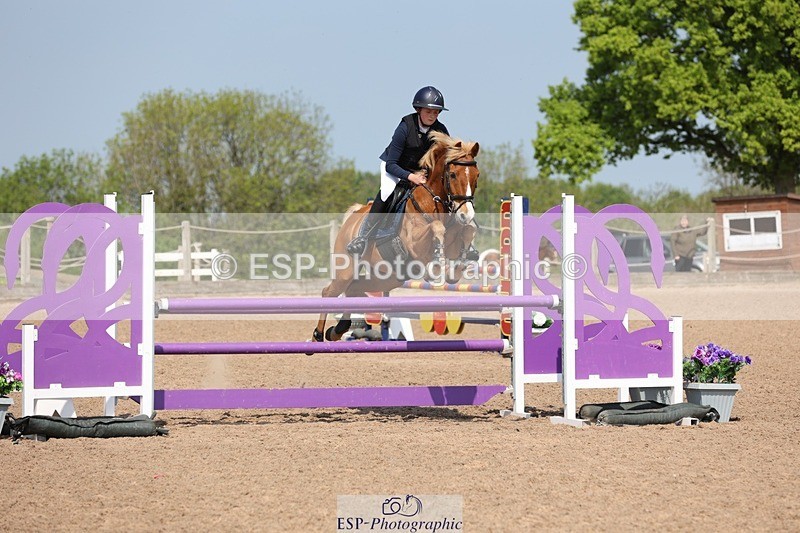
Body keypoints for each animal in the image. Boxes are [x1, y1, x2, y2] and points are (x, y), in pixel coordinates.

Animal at [313, 131, 481, 342]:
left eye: (476, 176)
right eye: (452, 174)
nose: (466, 215)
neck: (432, 203)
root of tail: (353, 216)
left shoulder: (453, 241)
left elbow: (468, 231)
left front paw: (458, 267)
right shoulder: (415, 244)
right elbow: (437, 227)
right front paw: (437, 265)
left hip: (386, 277)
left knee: (353, 290)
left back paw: (337, 330)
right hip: (346, 271)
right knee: (329, 292)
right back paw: (318, 335)